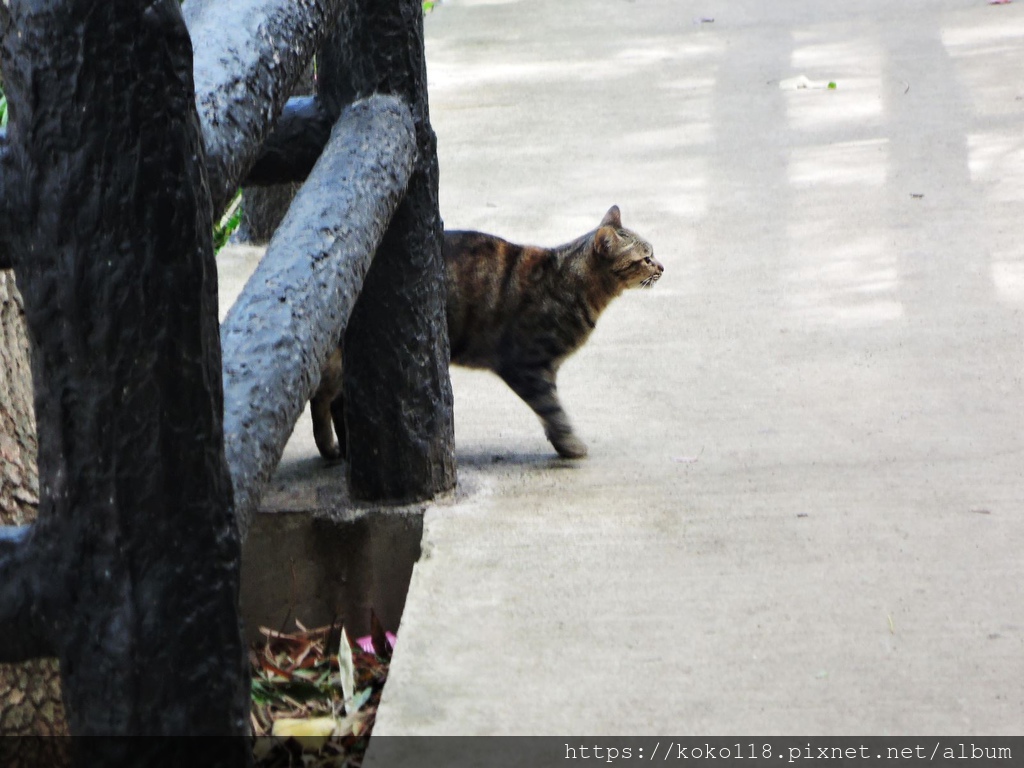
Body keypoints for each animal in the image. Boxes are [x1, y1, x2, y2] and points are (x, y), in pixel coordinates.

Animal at [311, 204, 663, 460]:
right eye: (645, 258)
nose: (661, 267)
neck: (571, 282)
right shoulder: (526, 366)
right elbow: (553, 409)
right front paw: (570, 445)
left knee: (339, 403)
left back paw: (346, 450)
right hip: (339, 362)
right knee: (321, 398)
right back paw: (329, 448)